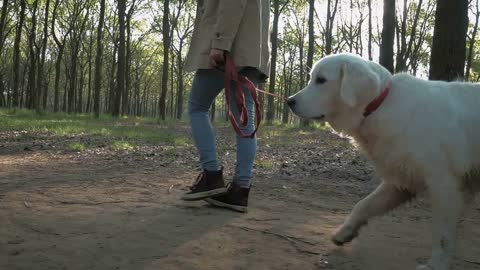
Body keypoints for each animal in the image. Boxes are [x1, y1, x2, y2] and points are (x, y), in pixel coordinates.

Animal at [286, 53, 480, 270]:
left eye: (321, 80)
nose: (289, 101)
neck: (380, 105)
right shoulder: (401, 181)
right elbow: (363, 205)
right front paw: (345, 232)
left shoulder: (445, 186)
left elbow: (443, 235)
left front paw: (436, 264)